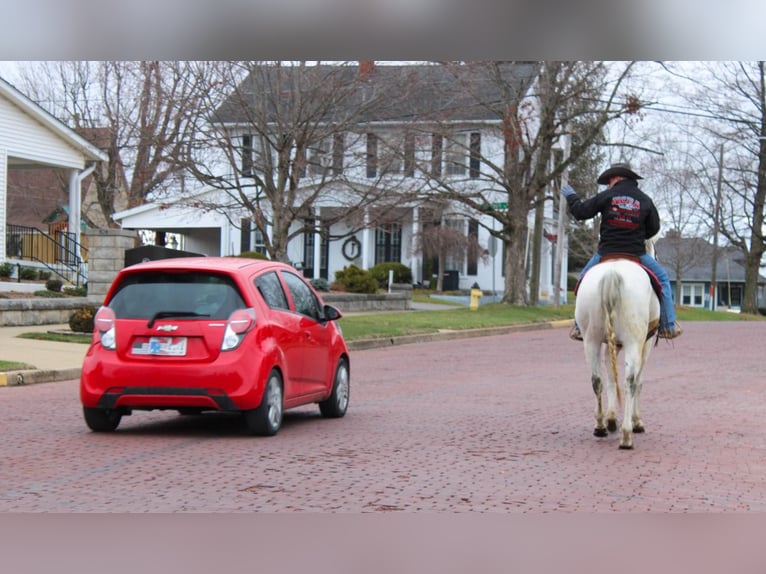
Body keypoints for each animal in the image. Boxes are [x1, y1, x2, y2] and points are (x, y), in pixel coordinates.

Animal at [580, 241, 664, 452]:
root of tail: (612, 273)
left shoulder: (612, 344)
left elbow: (611, 377)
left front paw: (611, 419)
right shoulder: (645, 343)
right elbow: (638, 381)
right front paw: (637, 421)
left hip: (591, 340)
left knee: (597, 380)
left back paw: (600, 426)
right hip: (634, 341)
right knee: (630, 381)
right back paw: (627, 434)